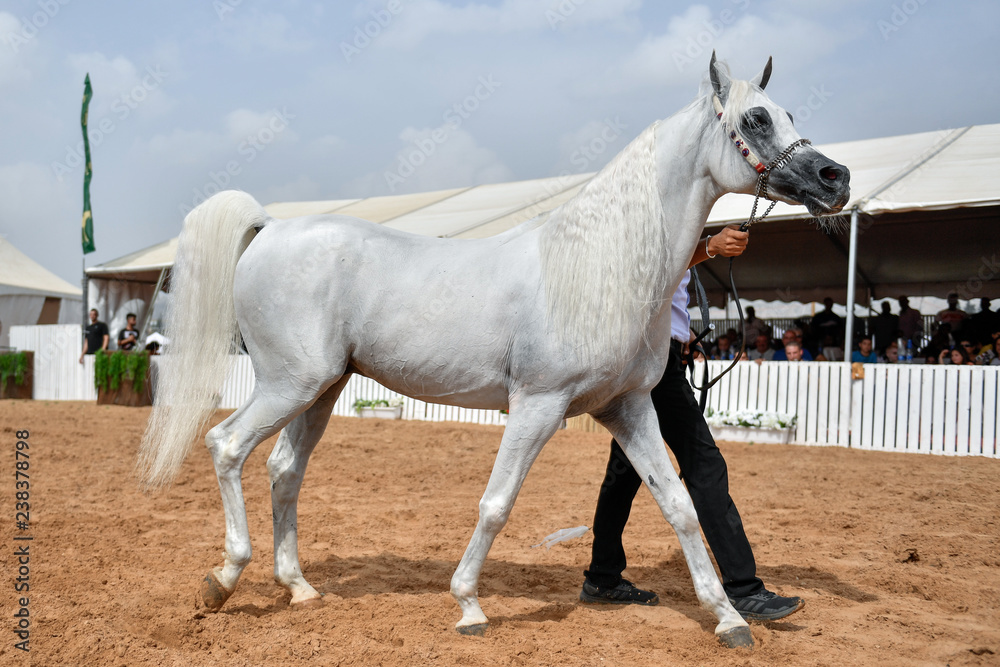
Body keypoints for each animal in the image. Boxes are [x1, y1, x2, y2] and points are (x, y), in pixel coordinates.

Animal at [138, 54, 849, 649]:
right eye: (755, 118)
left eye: (790, 114)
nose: (834, 178)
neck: (598, 267)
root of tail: (270, 228)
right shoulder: (537, 404)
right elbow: (496, 502)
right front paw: (468, 606)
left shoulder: (628, 407)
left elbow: (678, 502)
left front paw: (728, 618)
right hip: (289, 384)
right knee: (227, 445)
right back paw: (222, 580)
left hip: (322, 388)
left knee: (285, 470)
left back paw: (300, 589)